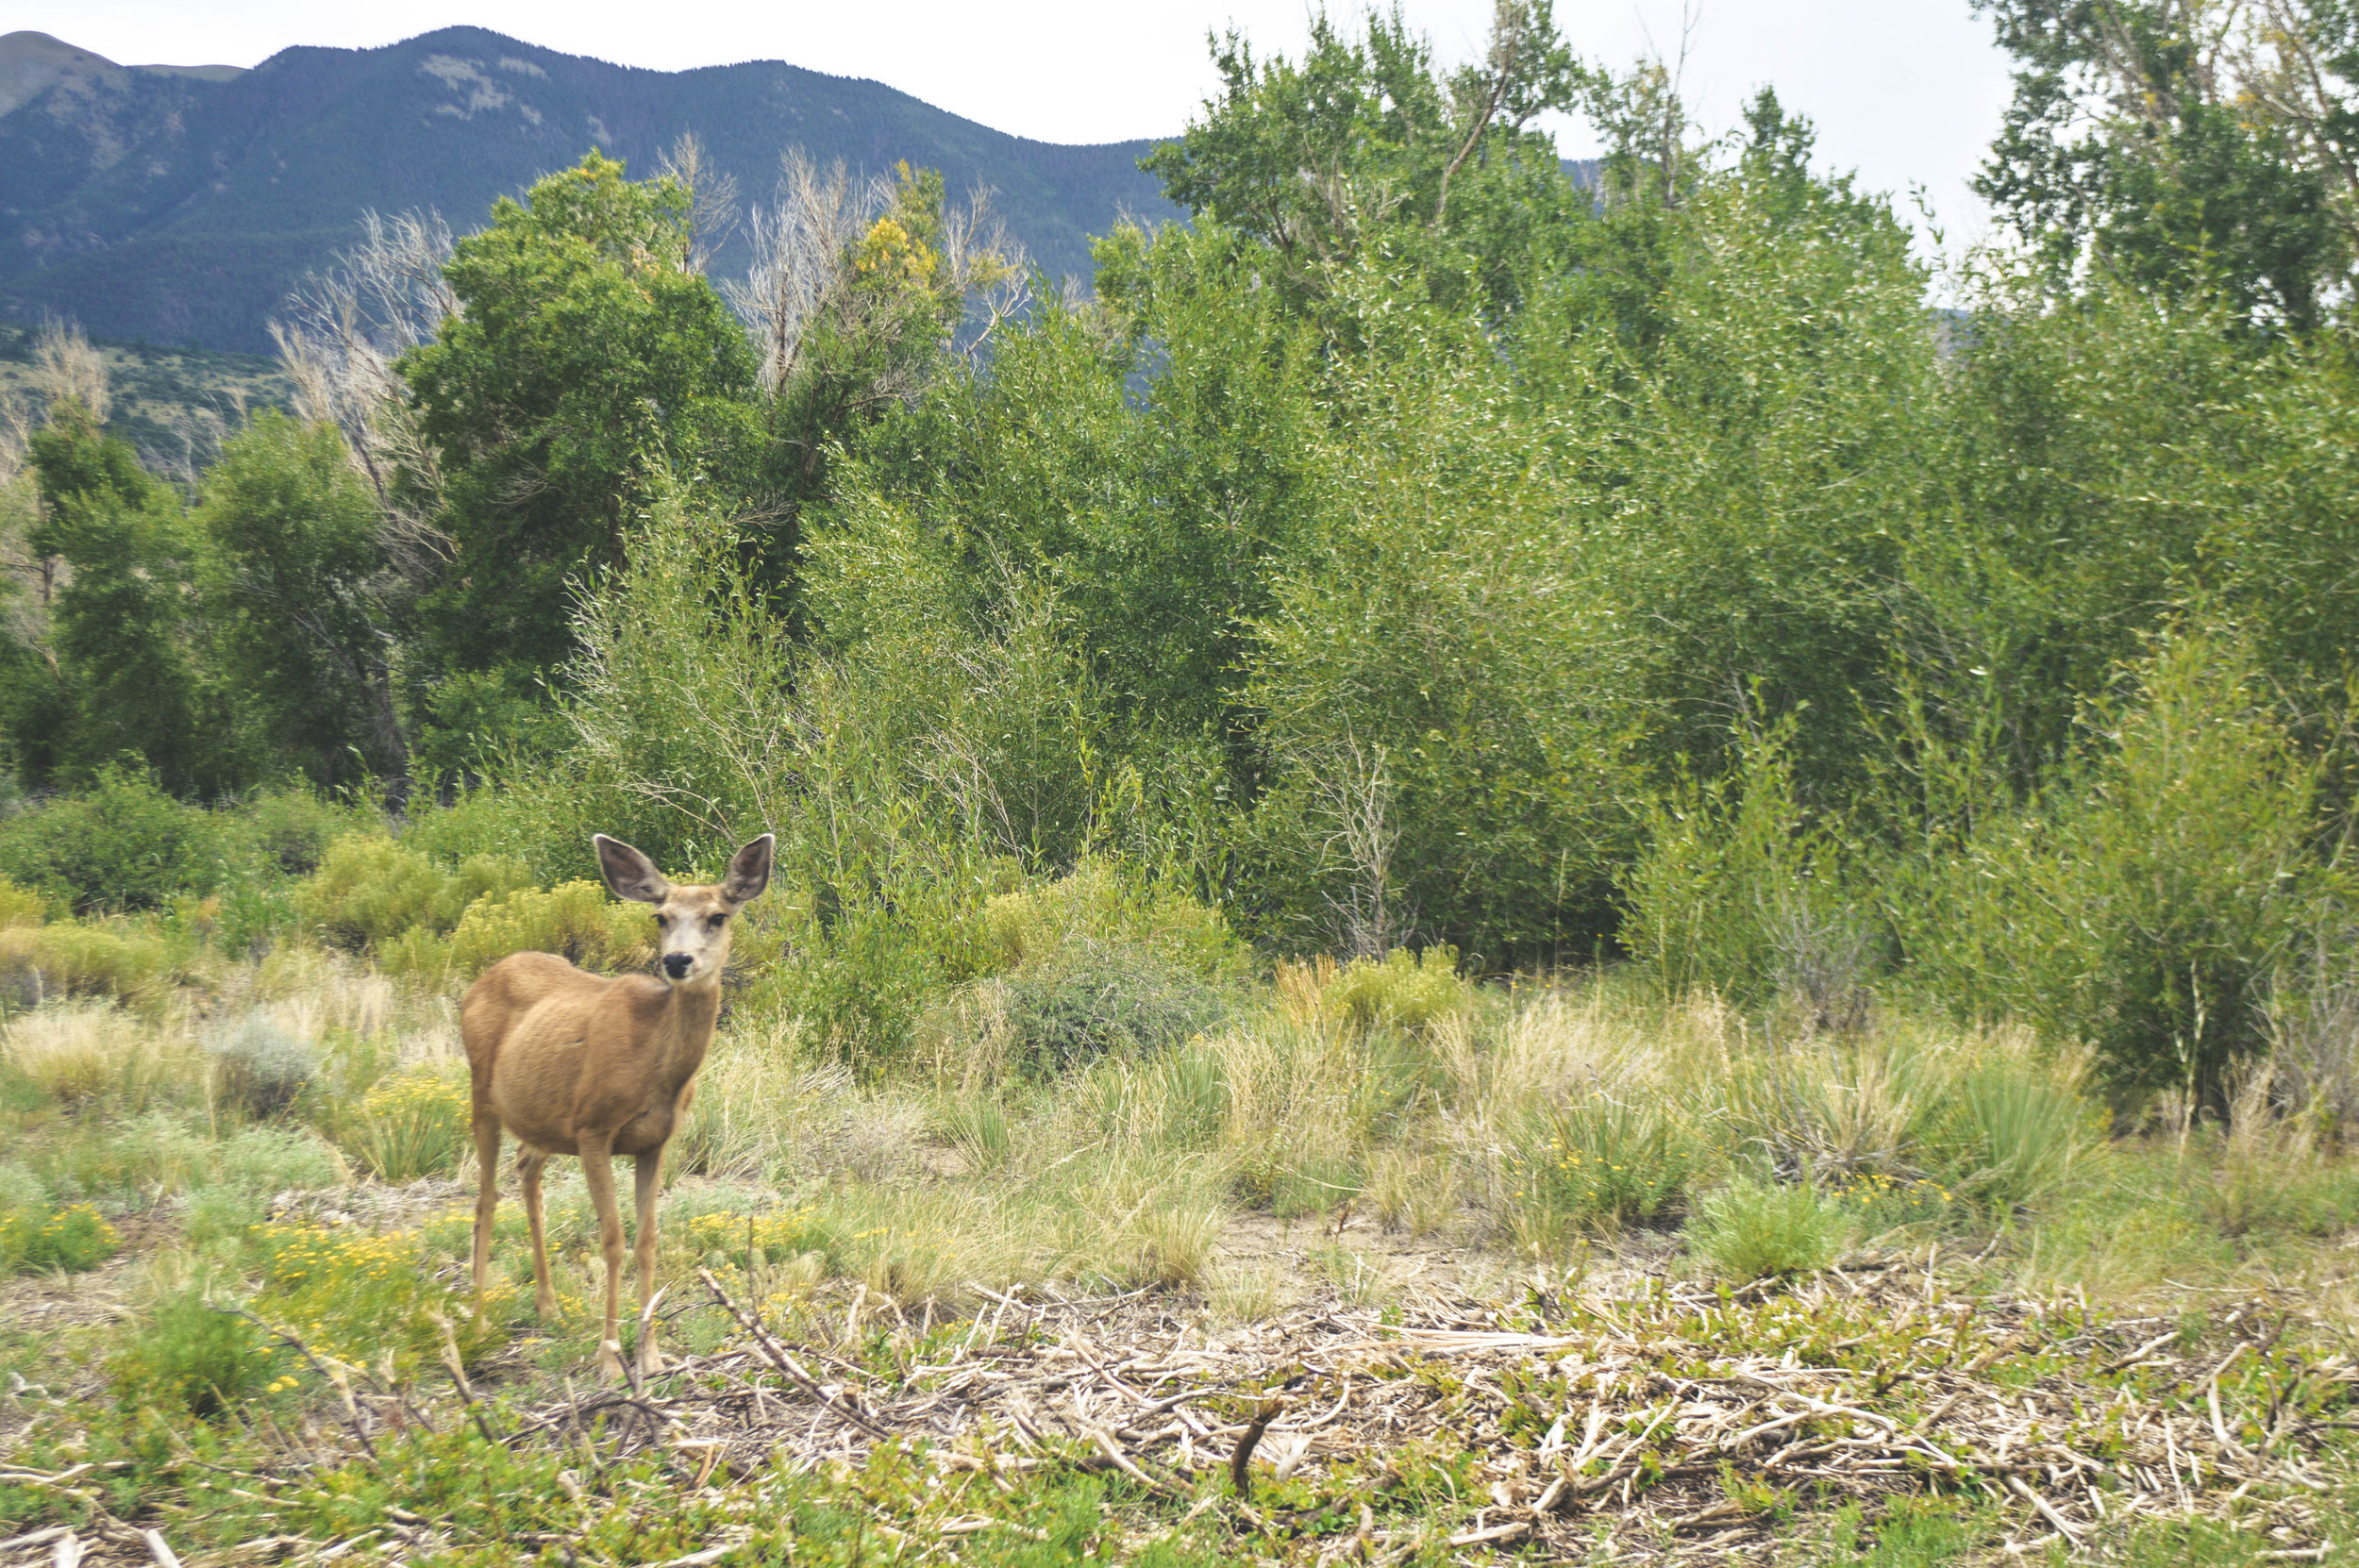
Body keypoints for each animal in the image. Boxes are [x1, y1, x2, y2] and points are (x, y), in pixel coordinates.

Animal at [464, 829, 778, 1367]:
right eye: (661, 916)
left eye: (718, 915)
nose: (677, 960)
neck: (653, 1063)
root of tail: (481, 980)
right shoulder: (593, 1128)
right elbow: (612, 1239)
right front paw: (610, 1357)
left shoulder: (655, 1141)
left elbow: (648, 1240)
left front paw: (650, 1356)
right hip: (481, 1092)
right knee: (485, 1198)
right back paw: (478, 1321)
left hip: (541, 1118)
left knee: (526, 1171)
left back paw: (548, 1305)